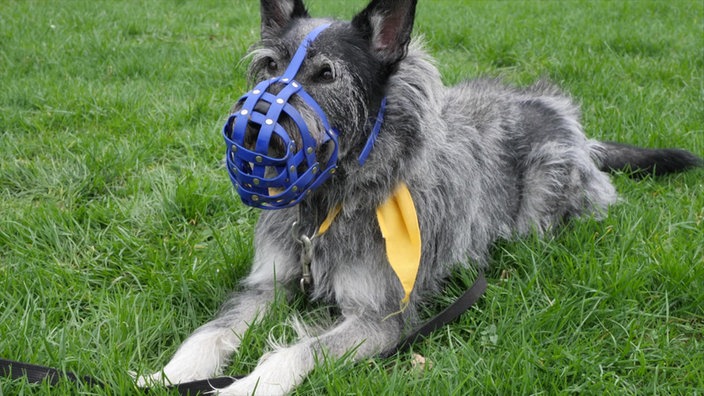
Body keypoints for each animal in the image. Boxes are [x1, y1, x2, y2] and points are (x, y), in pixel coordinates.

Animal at [136, 0, 700, 396]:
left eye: (326, 74)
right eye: (270, 64)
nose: (247, 130)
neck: (328, 204)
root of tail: (568, 121)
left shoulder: (383, 319)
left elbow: (297, 353)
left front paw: (245, 385)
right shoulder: (267, 287)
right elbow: (211, 332)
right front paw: (167, 374)